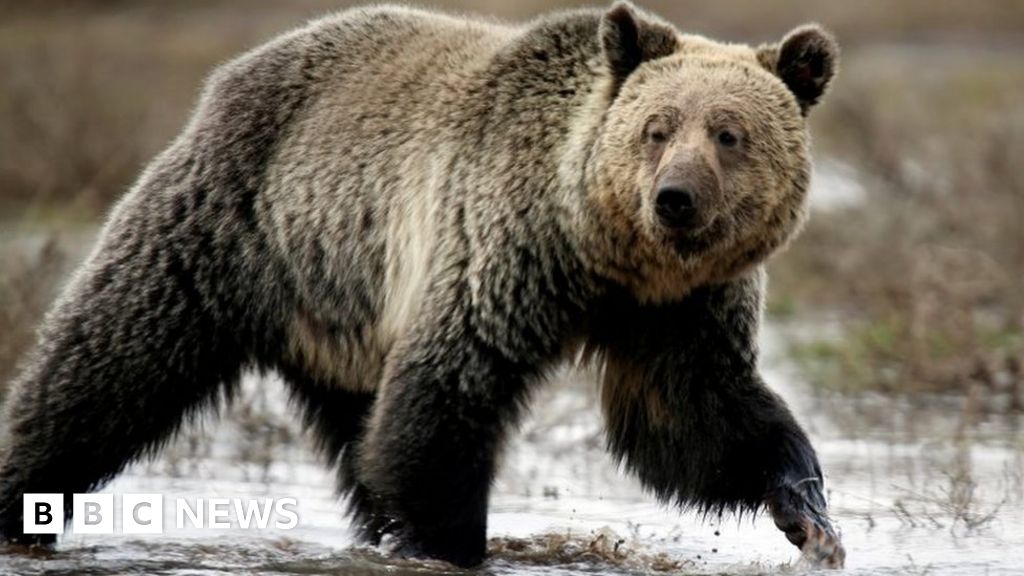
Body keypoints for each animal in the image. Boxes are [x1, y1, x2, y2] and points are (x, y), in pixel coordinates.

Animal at [0, 1, 842, 568]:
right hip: (230, 227)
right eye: (657, 127)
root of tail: (234, 72)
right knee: (108, 367)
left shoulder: (678, 310)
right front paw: (449, 541)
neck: (605, 253)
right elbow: (448, 392)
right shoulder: (501, 248)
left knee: (358, 432)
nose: (675, 197)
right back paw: (21, 496)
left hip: (342, 308)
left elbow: (693, 417)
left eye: (729, 134)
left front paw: (808, 509)